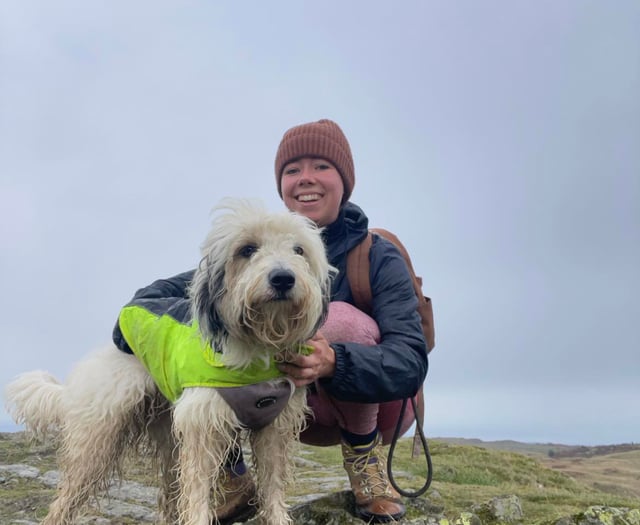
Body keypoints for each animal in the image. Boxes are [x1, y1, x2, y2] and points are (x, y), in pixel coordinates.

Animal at [5, 198, 336, 524]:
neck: (255, 349)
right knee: (65, 501)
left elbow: (272, 488)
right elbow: (198, 495)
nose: (283, 278)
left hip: (167, 436)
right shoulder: (203, 426)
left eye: (299, 250)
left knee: (168, 496)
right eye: (247, 249)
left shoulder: (273, 428)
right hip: (97, 439)